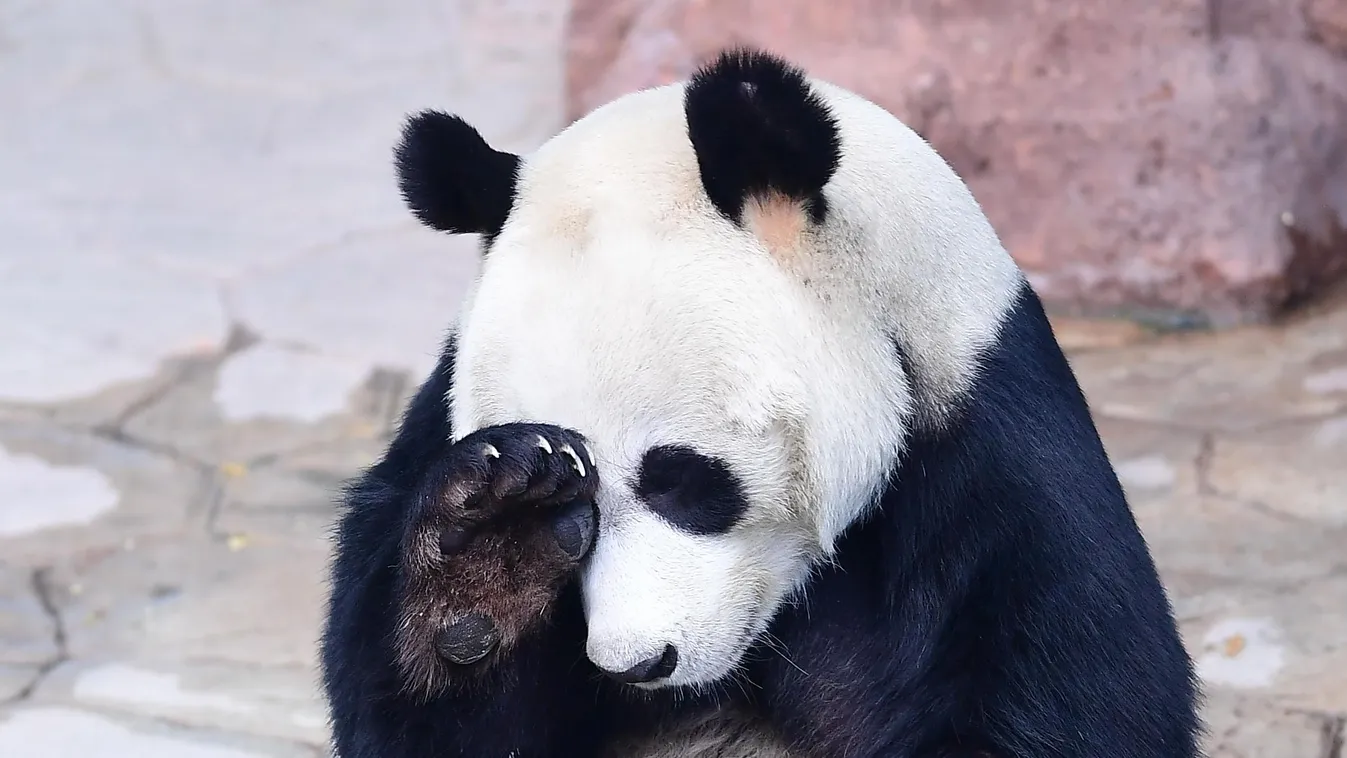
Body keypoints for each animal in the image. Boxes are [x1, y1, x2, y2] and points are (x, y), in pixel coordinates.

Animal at [323, 48, 1201, 758]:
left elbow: (1079, 693)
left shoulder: (984, 440)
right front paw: (492, 543)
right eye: (579, 492)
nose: (639, 663)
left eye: (680, 477)